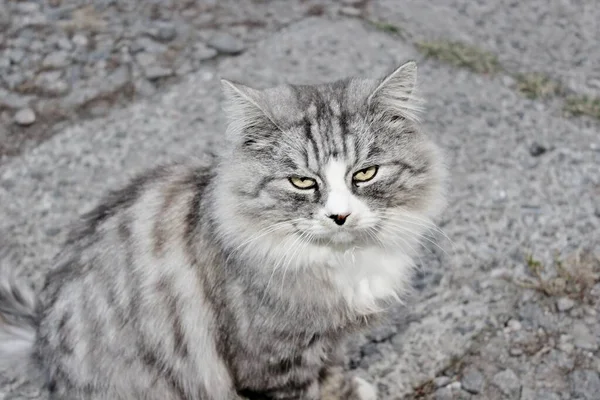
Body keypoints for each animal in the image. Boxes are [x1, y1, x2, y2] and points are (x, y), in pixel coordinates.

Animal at [0, 60, 446, 400]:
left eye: (365, 173)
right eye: (302, 182)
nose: (340, 216)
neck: (339, 260)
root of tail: (41, 346)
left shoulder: (327, 341)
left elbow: (332, 374)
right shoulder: (273, 362)